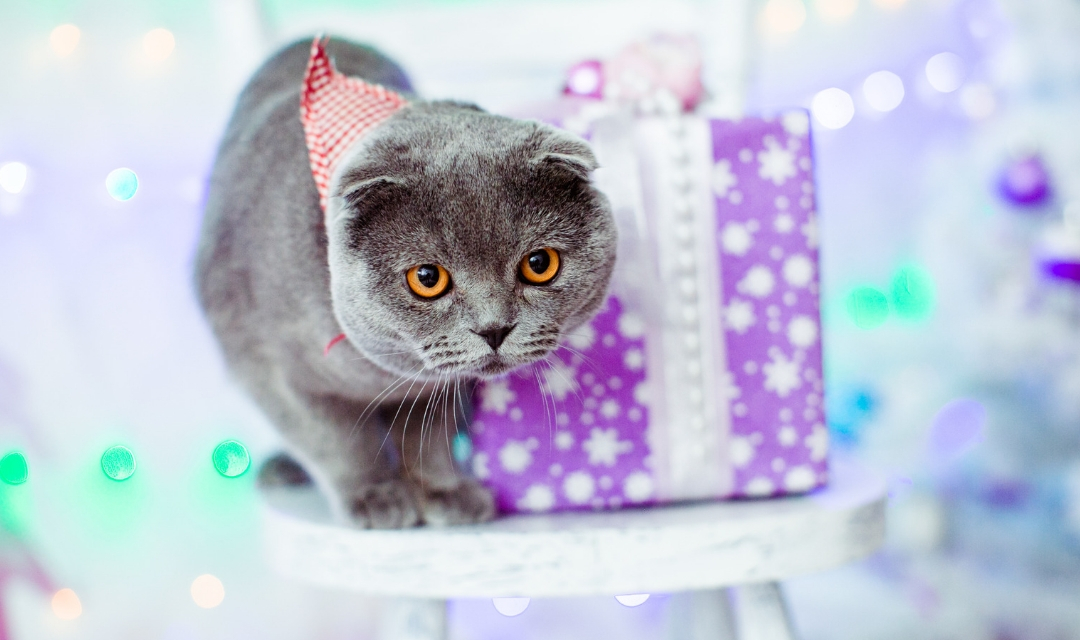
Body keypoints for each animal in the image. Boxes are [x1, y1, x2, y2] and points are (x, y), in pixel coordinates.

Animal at [194, 41, 617, 528]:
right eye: (427, 279)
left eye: (539, 264)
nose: (494, 329)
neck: (382, 374)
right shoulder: (271, 370)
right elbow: (334, 441)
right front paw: (374, 496)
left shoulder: (441, 388)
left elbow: (428, 435)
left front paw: (443, 491)